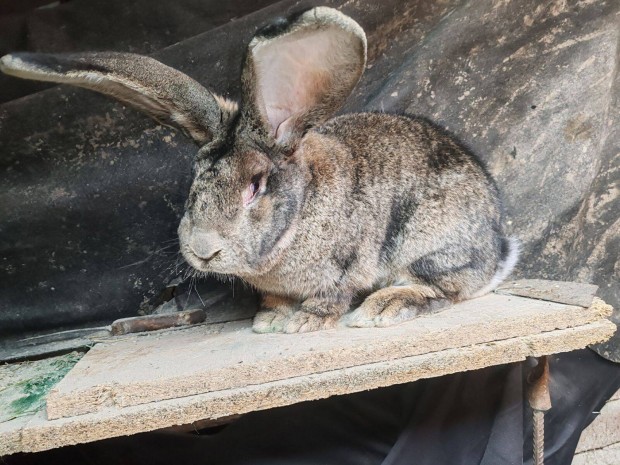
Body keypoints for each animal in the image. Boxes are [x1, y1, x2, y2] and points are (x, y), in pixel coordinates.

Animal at [0, 7, 520, 334]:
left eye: (255, 186)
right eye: (194, 182)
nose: (202, 250)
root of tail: (498, 245)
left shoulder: (347, 267)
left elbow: (332, 297)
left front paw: (303, 323)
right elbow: (275, 301)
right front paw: (270, 320)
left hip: (431, 244)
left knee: (446, 287)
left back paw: (384, 307)